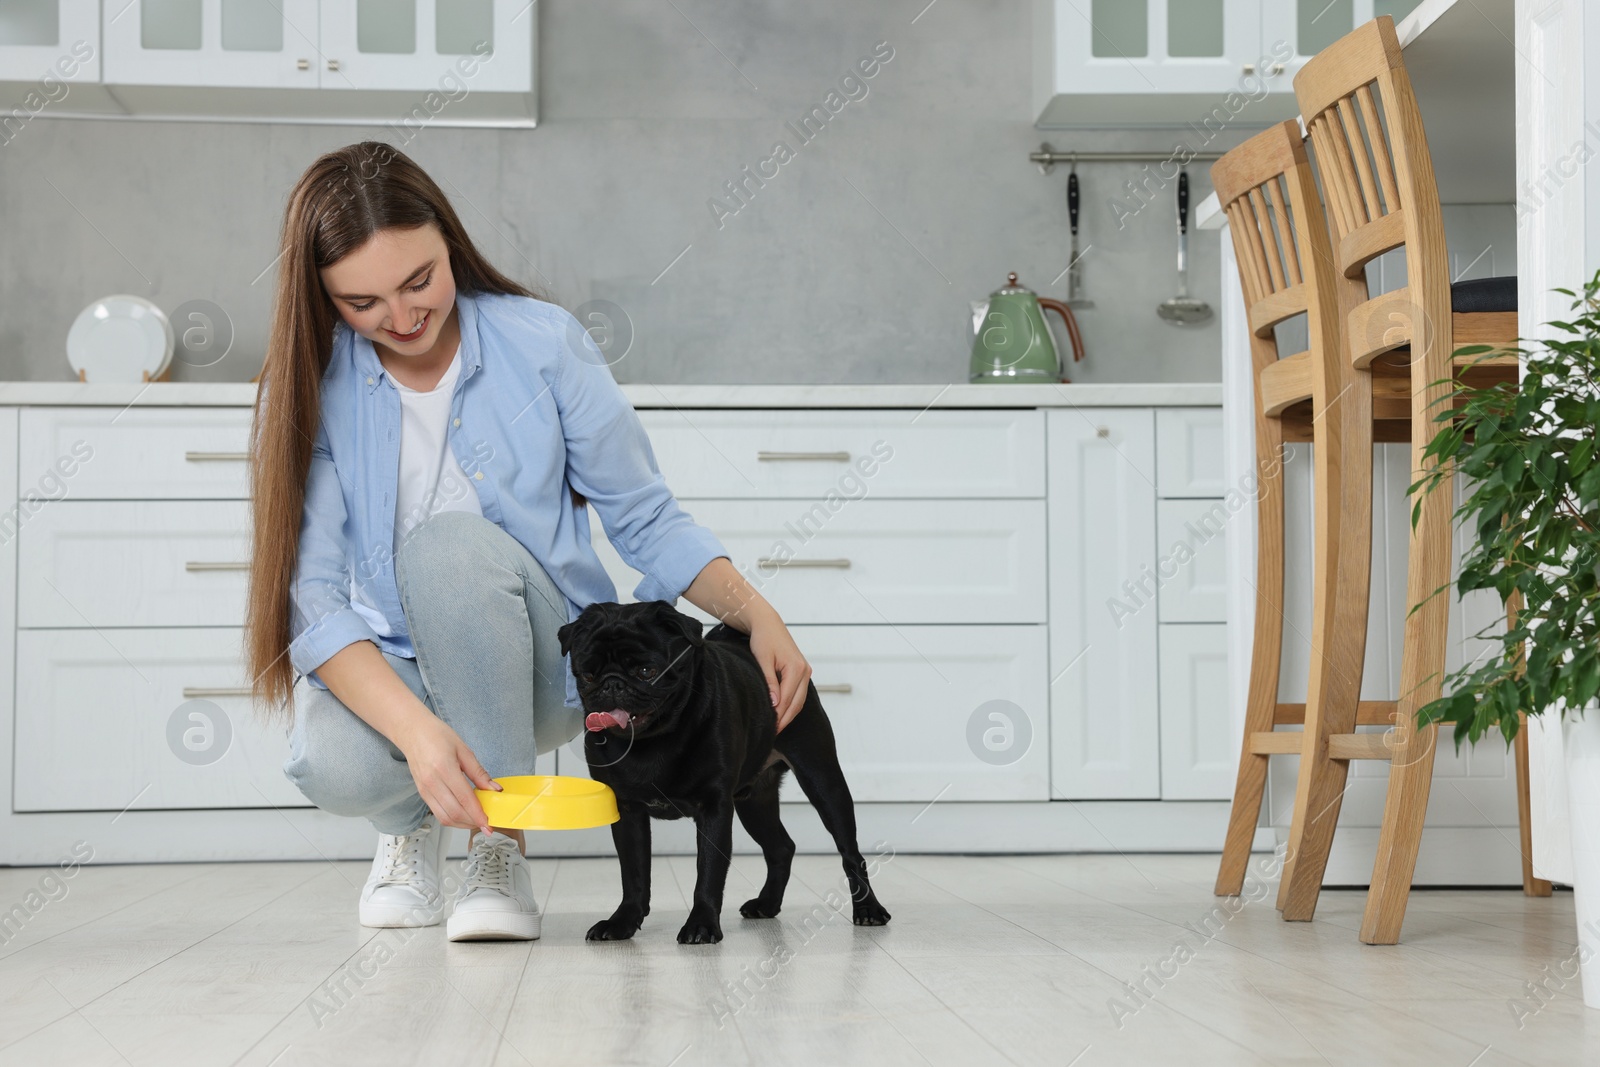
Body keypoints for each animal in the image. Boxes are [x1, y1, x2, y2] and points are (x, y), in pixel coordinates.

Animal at [560, 601, 889, 940]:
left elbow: (708, 873)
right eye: (587, 674)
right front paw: (622, 922)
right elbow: (634, 874)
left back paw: (868, 910)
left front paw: (701, 924)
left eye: (647, 672)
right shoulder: (627, 811)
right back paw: (767, 904)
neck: (654, 740)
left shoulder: (714, 807)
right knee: (782, 848)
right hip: (754, 803)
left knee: (850, 854)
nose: (612, 684)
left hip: (822, 779)